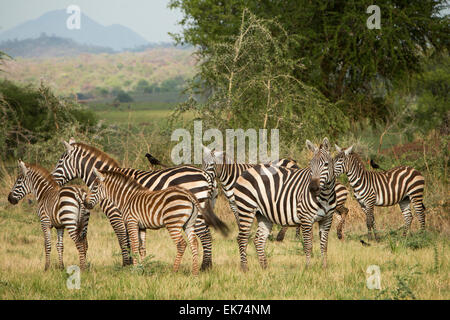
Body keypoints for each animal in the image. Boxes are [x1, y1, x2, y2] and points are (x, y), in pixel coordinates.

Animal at [51, 138, 219, 270]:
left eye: (60, 161)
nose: (52, 180)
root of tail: (204, 174)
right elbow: (134, 241)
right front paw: (136, 263)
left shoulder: (115, 214)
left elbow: (122, 239)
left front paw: (126, 264)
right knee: (207, 235)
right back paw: (206, 266)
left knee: (205, 235)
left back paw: (205, 267)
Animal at [84, 169, 229, 276]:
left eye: (94, 187)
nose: (85, 204)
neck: (126, 198)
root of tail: (189, 195)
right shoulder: (141, 226)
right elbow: (142, 247)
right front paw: (142, 268)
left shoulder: (132, 222)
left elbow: (134, 245)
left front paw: (134, 270)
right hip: (189, 224)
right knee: (194, 243)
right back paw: (194, 272)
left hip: (173, 224)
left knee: (182, 244)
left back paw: (174, 271)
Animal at [234, 138, 336, 270]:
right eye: (310, 165)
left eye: (326, 164)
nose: (313, 188)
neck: (325, 195)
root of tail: (247, 170)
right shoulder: (306, 218)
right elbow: (308, 245)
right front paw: (308, 268)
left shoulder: (327, 219)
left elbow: (324, 245)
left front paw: (324, 268)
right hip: (246, 208)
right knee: (242, 238)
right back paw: (245, 268)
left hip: (263, 214)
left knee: (258, 240)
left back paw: (264, 268)